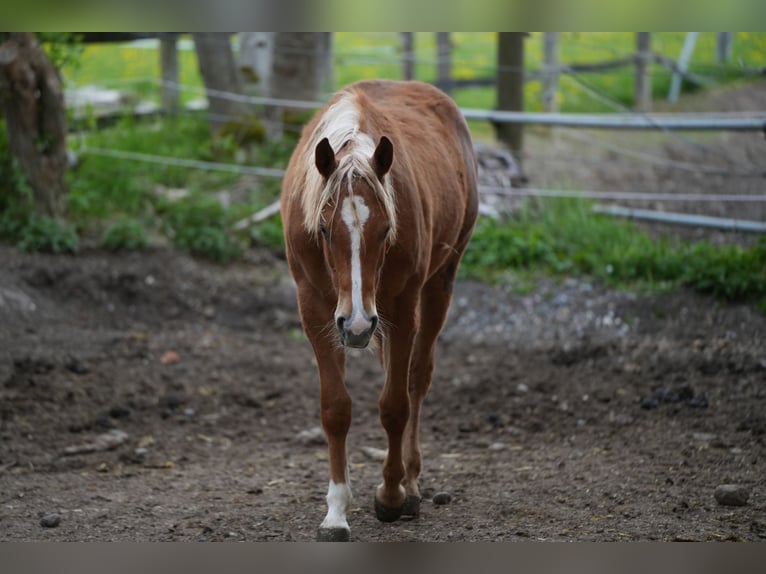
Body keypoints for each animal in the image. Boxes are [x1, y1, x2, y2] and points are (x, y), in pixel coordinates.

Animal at [280, 81, 476, 544]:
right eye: (324, 229)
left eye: (386, 229)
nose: (355, 325)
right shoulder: (315, 310)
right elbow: (335, 409)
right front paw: (336, 511)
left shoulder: (401, 309)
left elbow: (395, 405)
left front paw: (391, 494)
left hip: (438, 286)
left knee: (416, 380)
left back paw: (411, 481)